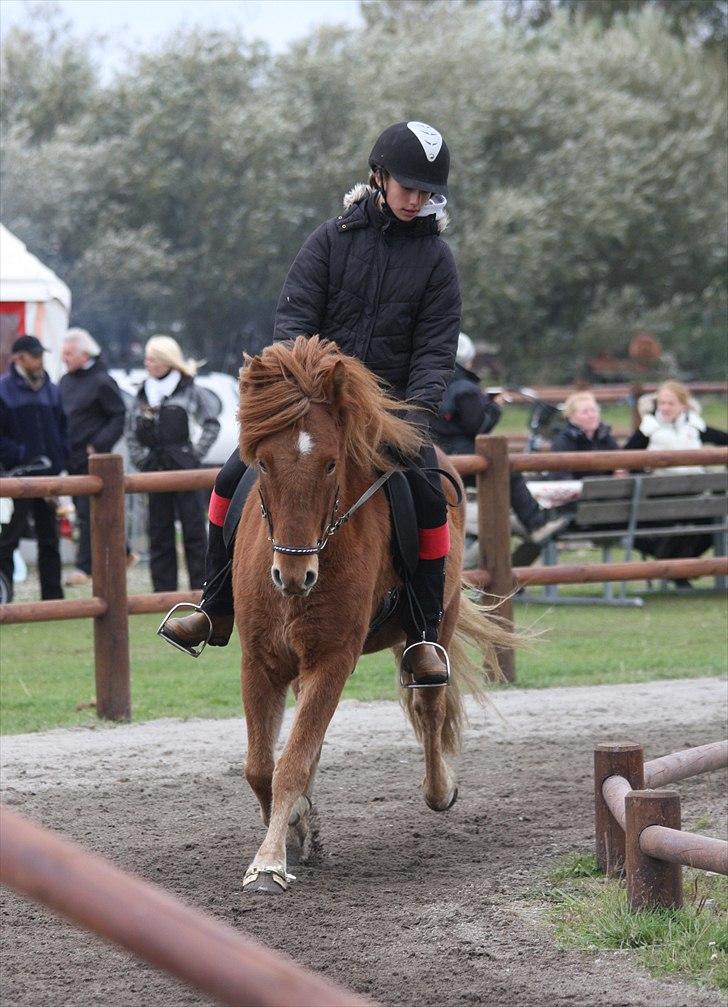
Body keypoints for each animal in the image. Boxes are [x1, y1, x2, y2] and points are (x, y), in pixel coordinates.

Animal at [231, 338, 507, 898]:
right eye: (263, 463)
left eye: (331, 465)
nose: (293, 575)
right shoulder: (261, 661)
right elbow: (260, 766)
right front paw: (293, 832)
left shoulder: (333, 659)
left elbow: (291, 763)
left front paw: (268, 864)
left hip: (435, 628)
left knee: (430, 708)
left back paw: (439, 789)